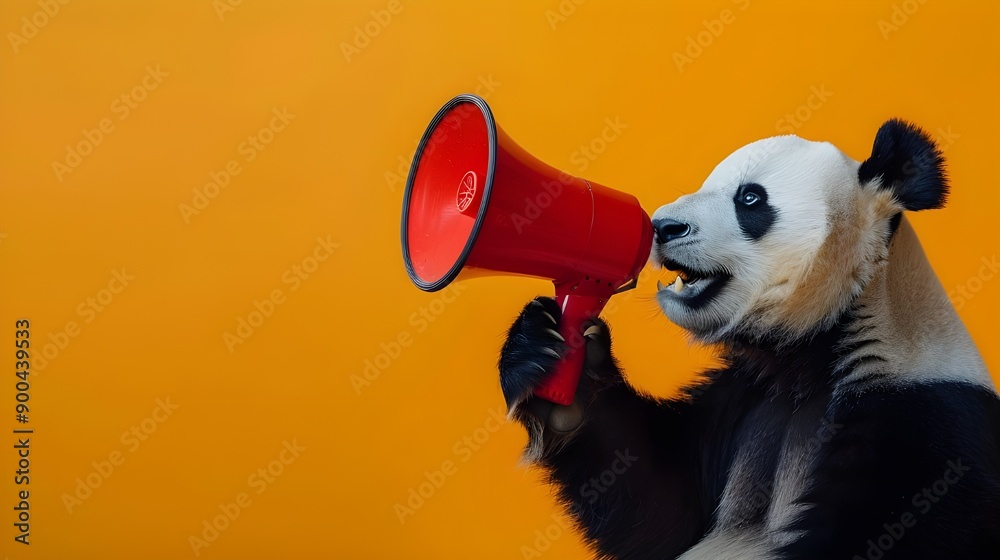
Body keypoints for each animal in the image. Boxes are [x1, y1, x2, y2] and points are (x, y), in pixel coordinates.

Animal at [498, 120, 1000, 559]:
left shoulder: (922, 427)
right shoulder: (742, 397)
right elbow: (658, 507)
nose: (664, 227)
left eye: (750, 198)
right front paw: (552, 362)